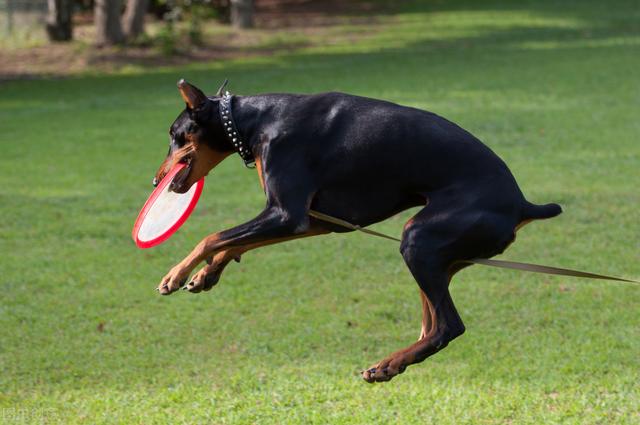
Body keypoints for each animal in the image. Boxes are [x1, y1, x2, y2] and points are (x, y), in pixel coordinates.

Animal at [154, 78, 560, 380]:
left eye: (175, 135)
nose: (155, 179)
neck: (256, 121)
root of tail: (521, 203)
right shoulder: (317, 219)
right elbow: (232, 242)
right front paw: (206, 274)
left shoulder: (287, 213)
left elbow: (211, 236)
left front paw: (176, 274)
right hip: (439, 256)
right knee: (431, 324)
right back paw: (393, 364)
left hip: (419, 239)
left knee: (448, 326)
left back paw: (388, 364)